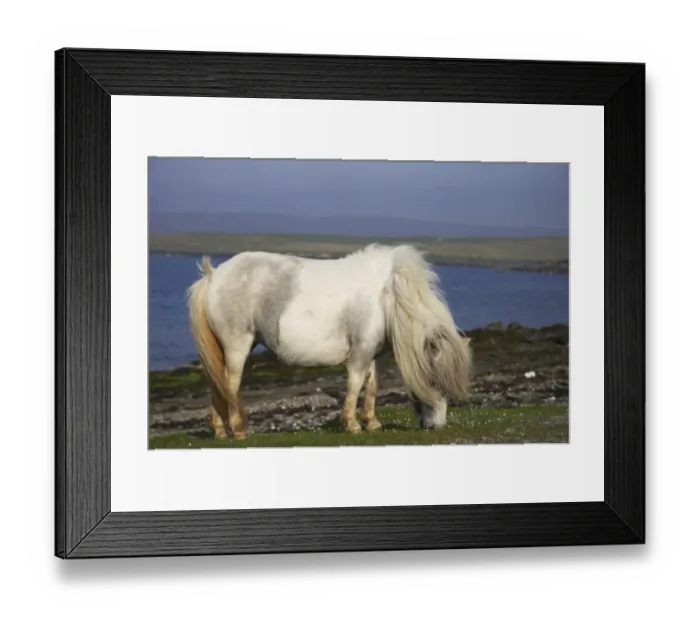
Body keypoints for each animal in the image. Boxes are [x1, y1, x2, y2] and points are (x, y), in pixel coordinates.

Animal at [186, 243, 472, 439]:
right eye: (434, 380)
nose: (436, 426)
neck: (387, 295)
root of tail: (213, 275)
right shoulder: (360, 353)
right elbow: (355, 385)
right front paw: (352, 424)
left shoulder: (372, 353)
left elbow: (371, 387)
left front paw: (372, 423)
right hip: (238, 346)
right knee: (230, 384)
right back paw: (237, 430)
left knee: (218, 384)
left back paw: (220, 431)